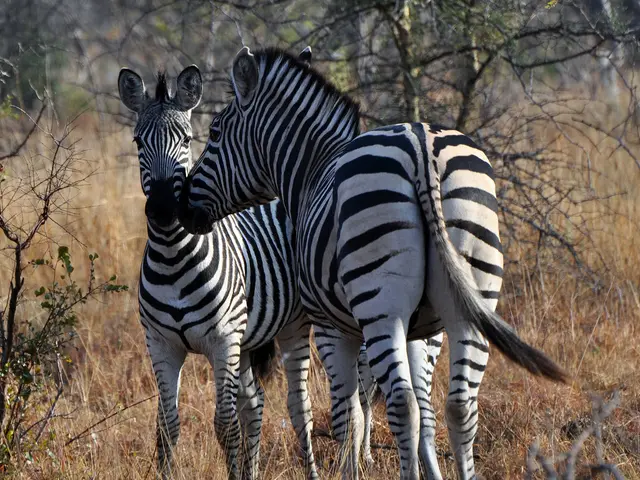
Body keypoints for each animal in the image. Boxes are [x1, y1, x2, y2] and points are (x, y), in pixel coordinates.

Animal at [118, 65, 319, 480]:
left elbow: (224, 425)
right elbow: (166, 427)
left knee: (299, 410)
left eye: (185, 139)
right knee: (254, 404)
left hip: (294, 326)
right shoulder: (161, 345)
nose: (163, 209)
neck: (172, 257)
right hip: (247, 340)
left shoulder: (223, 341)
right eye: (137, 140)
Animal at [178, 46, 568, 480]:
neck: (311, 170)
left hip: (380, 306)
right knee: (459, 405)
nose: (180, 207)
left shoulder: (331, 328)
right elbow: (423, 413)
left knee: (401, 404)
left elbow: (349, 416)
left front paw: (351, 470)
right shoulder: (421, 331)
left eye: (214, 133)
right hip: (473, 296)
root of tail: (420, 146)